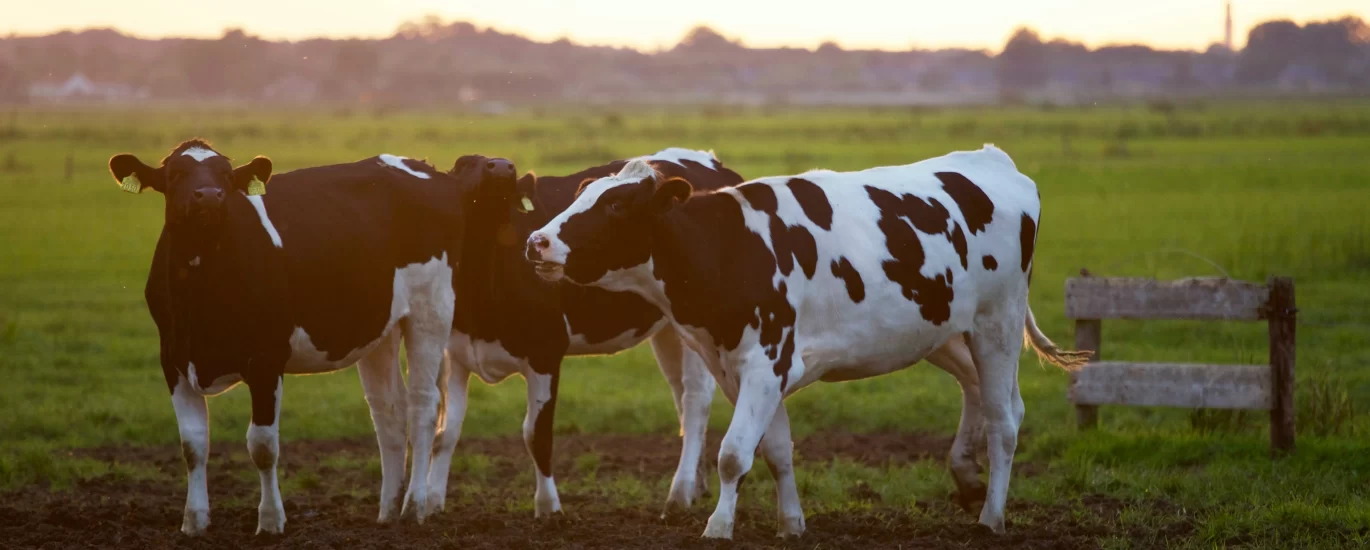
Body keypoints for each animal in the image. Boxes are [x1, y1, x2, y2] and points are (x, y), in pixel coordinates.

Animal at [106, 139, 515, 534]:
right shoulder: (173, 359)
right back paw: (387, 511)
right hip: (379, 329)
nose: (208, 195)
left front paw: (271, 520)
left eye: (225, 175)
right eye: (175, 174)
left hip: (431, 310)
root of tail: (429, 169)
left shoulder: (266, 359)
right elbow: (192, 444)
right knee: (388, 413)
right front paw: (194, 521)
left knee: (423, 406)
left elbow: (262, 445)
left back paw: (414, 506)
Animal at [430, 146, 745, 515]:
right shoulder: (456, 353)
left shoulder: (546, 351)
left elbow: (536, 434)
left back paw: (679, 493)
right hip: (669, 330)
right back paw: (696, 485)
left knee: (695, 401)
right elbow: (445, 432)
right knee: (680, 395)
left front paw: (549, 508)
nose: (503, 167)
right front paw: (428, 503)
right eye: (463, 164)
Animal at [523, 144, 1090, 534]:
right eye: (582, 194)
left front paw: (718, 527)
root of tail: (993, 160)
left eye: (617, 206)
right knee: (990, 397)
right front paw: (790, 523)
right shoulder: (742, 368)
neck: (729, 247)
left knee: (1004, 421)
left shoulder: (765, 362)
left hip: (997, 323)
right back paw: (968, 478)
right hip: (944, 330)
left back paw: (992, 516)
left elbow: (733, 454)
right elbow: (775, 450)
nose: (537, 241)